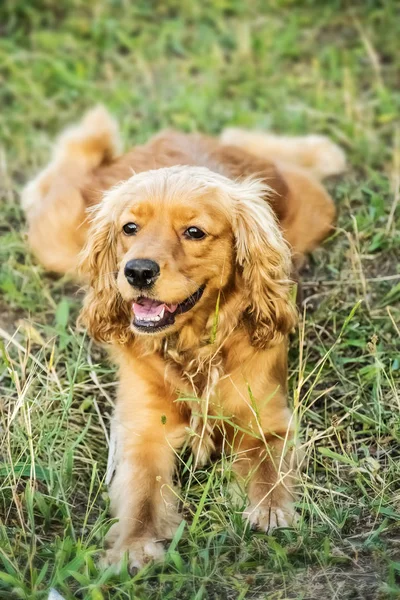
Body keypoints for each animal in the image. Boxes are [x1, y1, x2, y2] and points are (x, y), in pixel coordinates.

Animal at [21, 105, 346, 568]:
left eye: (194, 232)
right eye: (129, 228)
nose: (137, 271)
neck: (194, 349)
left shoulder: (267, 418)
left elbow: (269, 466)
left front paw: (270, 510)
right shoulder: (142, 432)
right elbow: (141, 496)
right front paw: (134, 546)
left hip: (315, 208)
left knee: (247, 138)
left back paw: (320, 149)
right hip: (54, 240)